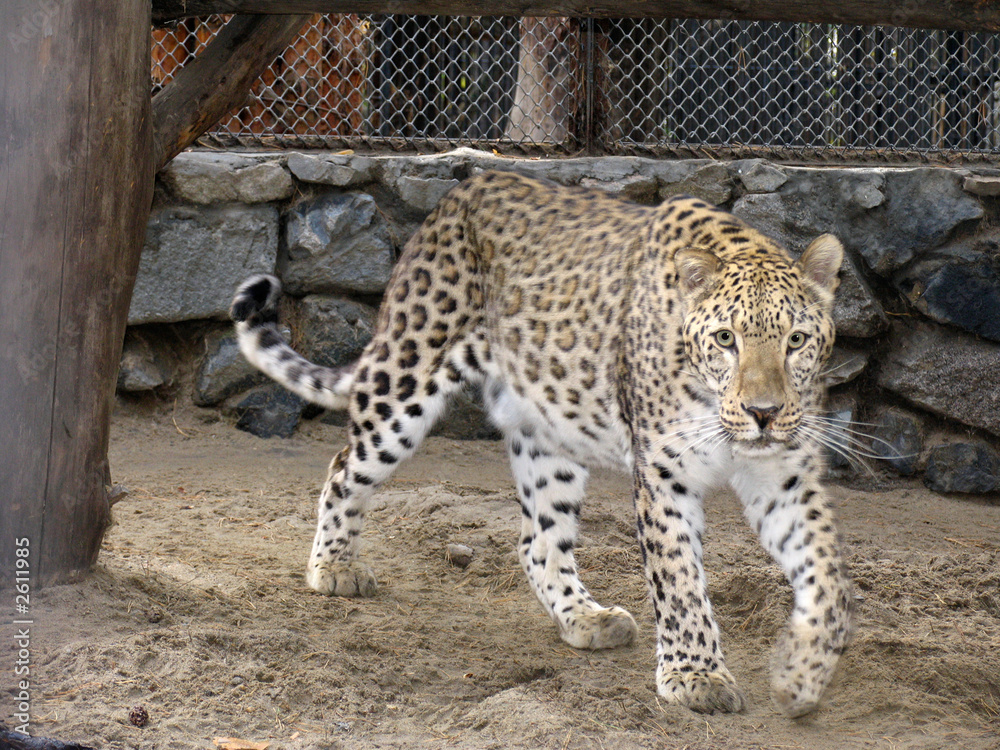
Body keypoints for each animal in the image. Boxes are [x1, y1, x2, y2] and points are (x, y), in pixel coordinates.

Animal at [230, 169, 853, 718]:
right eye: (725, 339)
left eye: (797, 341)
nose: (762, 413)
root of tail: (461, 190)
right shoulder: (664, 475)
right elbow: (678, 581)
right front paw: (695, 675)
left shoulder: (786, 477)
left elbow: (827, 577)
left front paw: (802, 671)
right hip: (405, 379)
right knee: (344, 465)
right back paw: (333, 567)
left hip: (551, 428)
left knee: (537, 539)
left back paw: (584, 617)